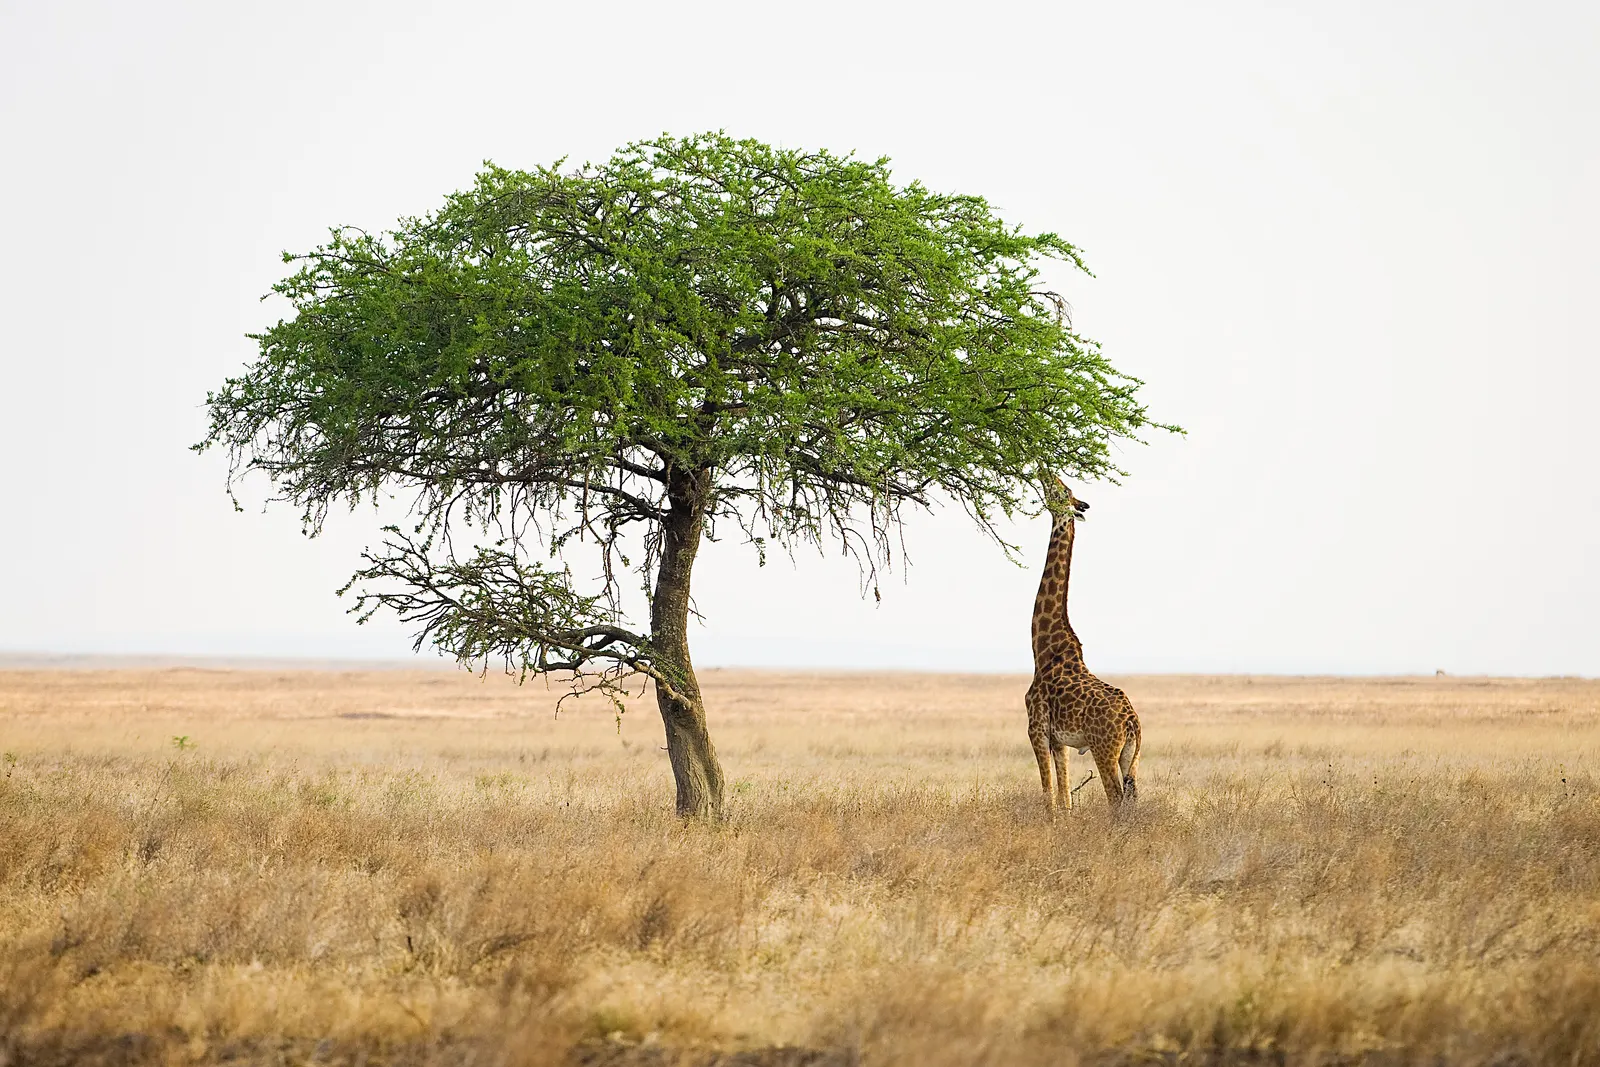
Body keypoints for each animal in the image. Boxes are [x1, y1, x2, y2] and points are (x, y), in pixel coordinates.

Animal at [1025, 476, 1141, 816]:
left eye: (1062, 491)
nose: (1046, 473)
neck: (1043, 649)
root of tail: (1132, 722)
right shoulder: (1059, 740)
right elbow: (1065, 797)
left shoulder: (1036, 728)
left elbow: (1048, 792)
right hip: (1132, 756)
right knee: (1132, 798)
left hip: (1104, 749)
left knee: (1115, 799)